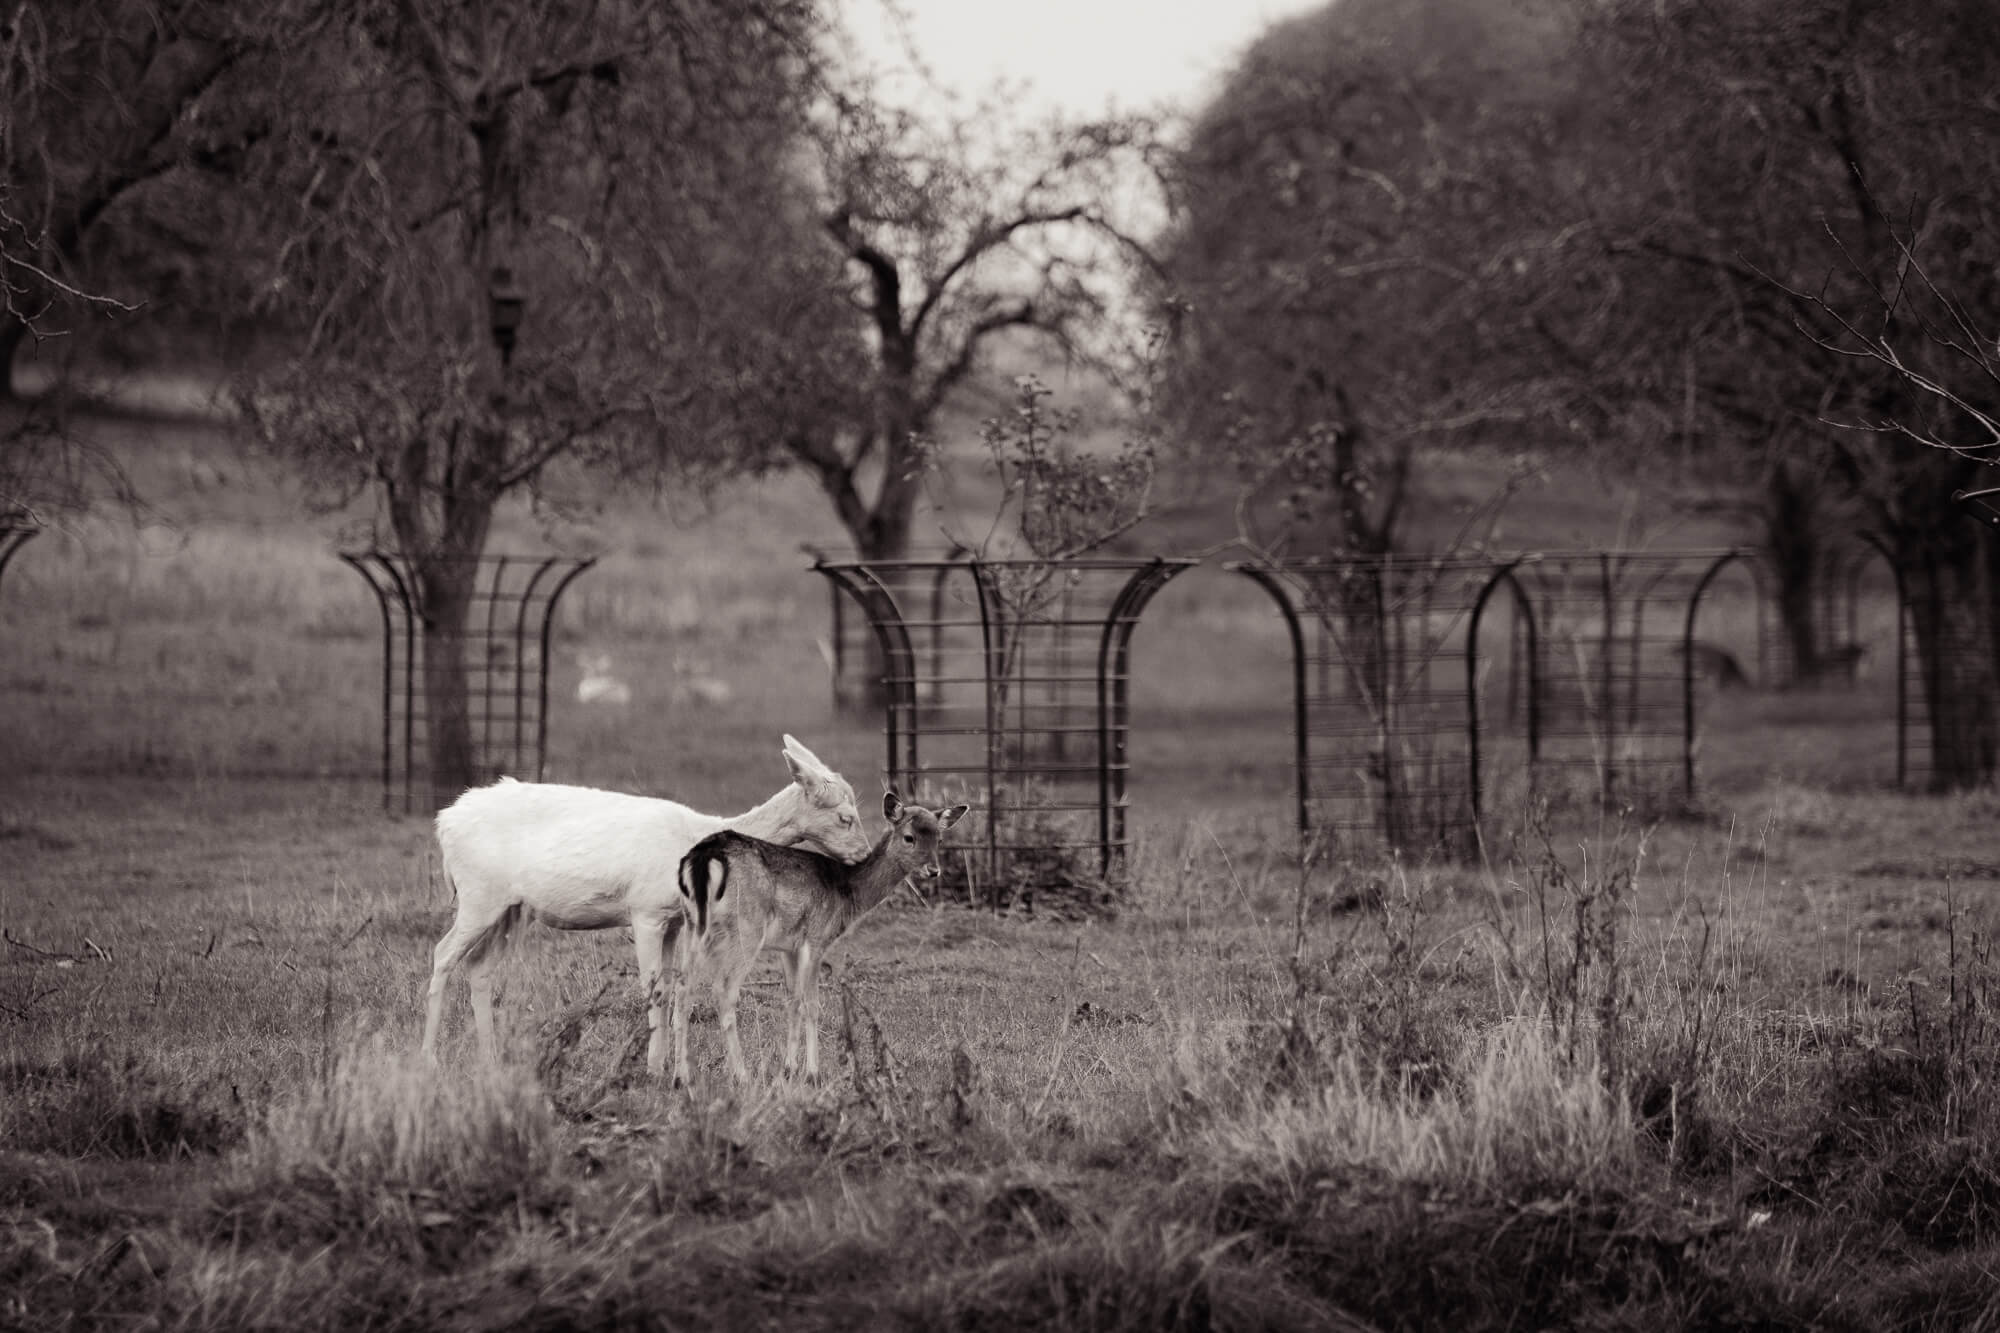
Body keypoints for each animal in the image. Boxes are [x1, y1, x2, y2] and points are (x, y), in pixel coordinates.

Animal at [422, 734, 872, 1084]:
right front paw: (654, 1070)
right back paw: (429, 1057)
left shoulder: (674, 919)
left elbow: (671, 988)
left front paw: (663, 1063)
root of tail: (443, 823)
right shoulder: (646, 910)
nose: (865, 854)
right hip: (478, 893)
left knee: (479, 966)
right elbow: (653, 988)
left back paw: (489, 1058)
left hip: (511, 909)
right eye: (845, 817)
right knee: (442, 953)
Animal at [677, 791, 968, 1084]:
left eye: (939, 839)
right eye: (909, 837)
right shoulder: (817, 936)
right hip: (746, 927)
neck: (847, 893)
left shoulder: (788, 946)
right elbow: (811, 1004)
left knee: (682, 986)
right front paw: (811, 1073)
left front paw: (789, 1069)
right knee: (724, 989)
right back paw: (741, 1075)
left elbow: (792, 1000)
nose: (933, 870)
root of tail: (704, 858)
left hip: (692, 924)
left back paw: (681, 1076)